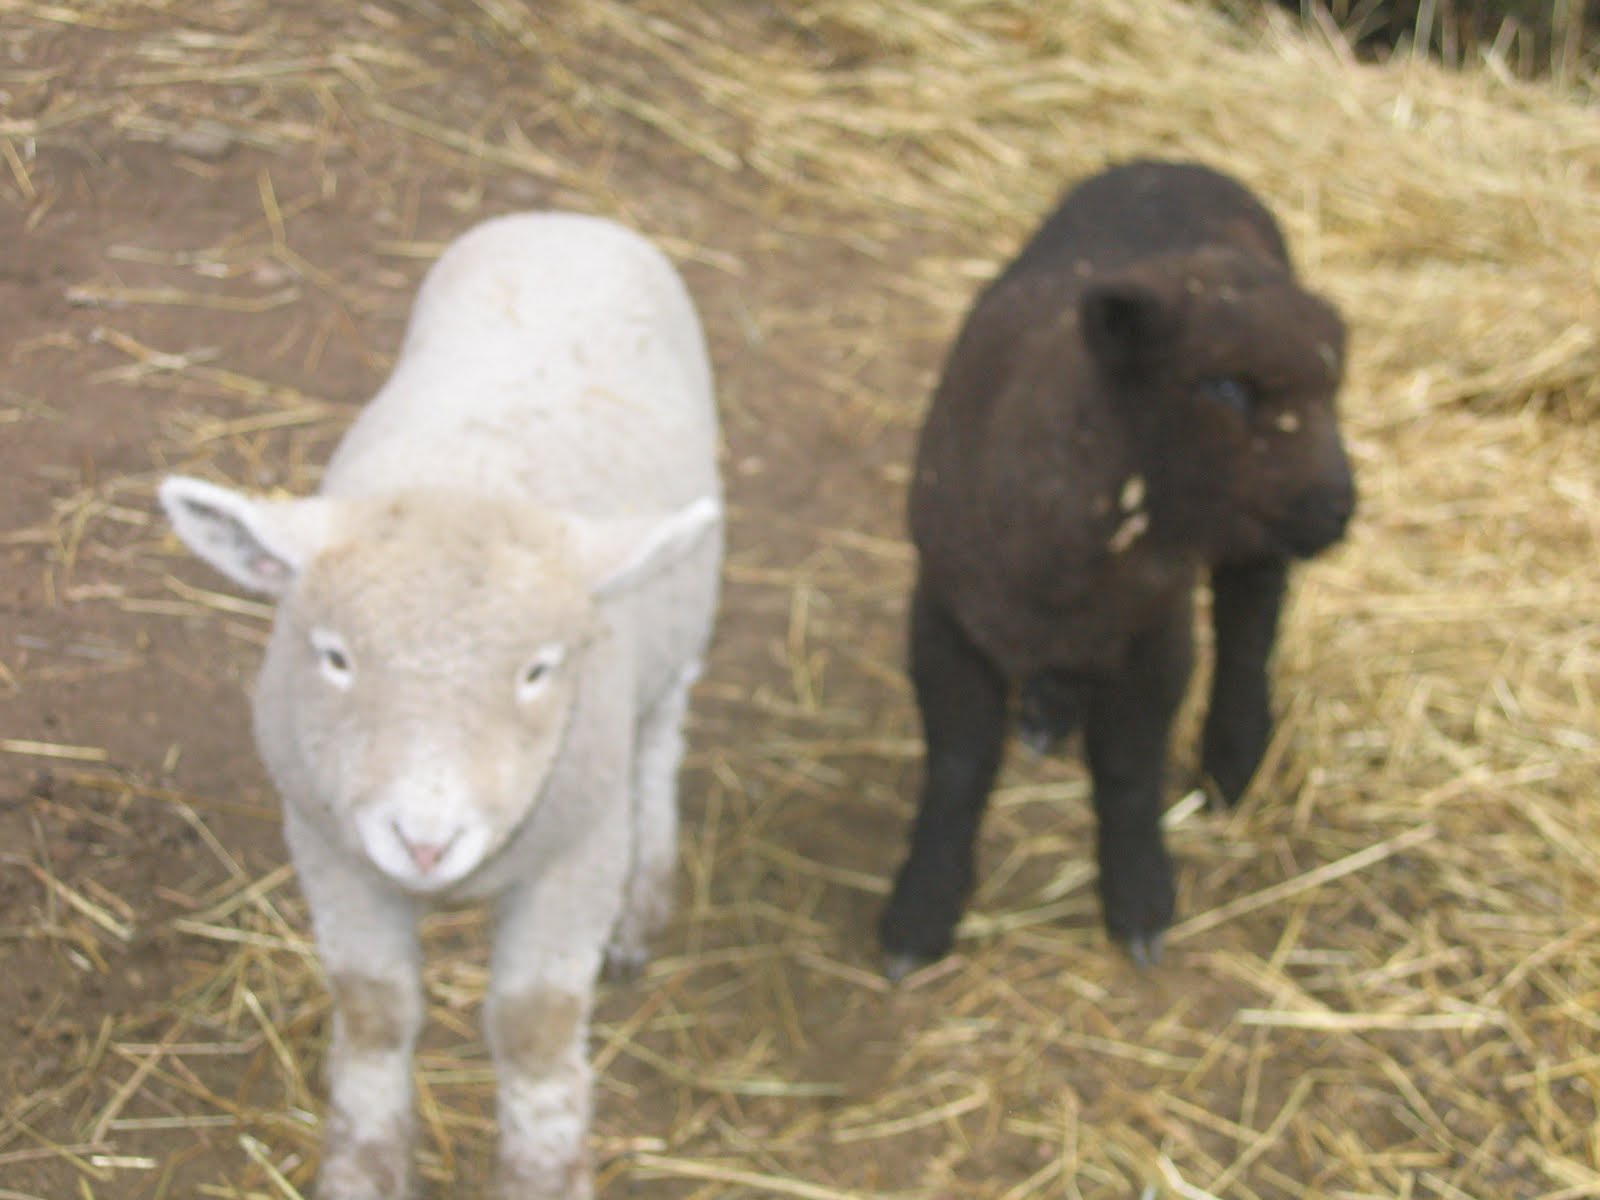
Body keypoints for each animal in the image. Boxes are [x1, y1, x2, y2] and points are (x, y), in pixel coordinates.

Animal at [160, 212, 722, 1200]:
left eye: (539, 670)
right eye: (334, 656)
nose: (424, 841)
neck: (474, 476)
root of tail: (567, 219)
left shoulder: (577, 854)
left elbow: (535, 1035)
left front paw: (543, 1174)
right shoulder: (326, 843)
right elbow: (376, 1013)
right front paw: (361, 1168)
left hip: (682, 642)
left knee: (661, 747)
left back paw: (646, 900)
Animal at [879, 160, 1355, 975]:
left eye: (1333, 390)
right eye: (1225, 386)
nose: (1339, 508)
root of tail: (1183, 163)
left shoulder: (1154, 633)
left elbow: (1129, 769)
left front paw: (1140, 901)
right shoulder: (946, 616)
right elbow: (958, 766)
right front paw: (921, 912)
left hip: (1247, 545)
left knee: (1249, 621)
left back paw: (1233, 759)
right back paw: (1051, 709)